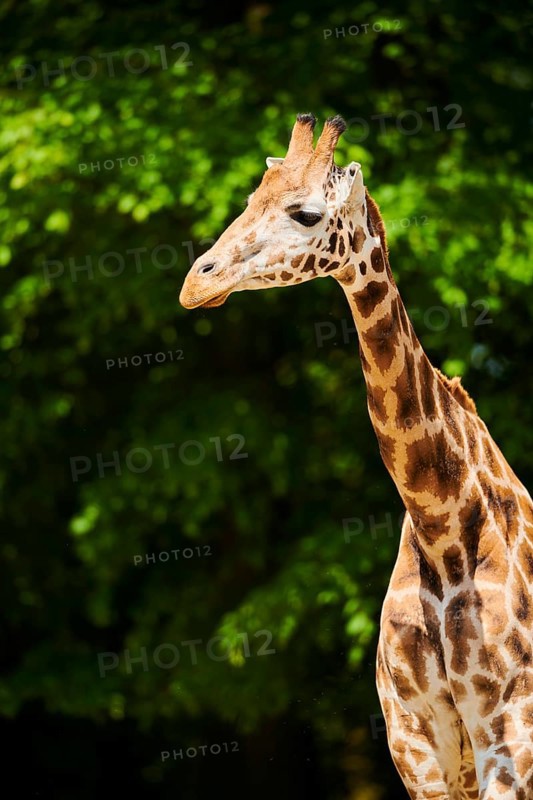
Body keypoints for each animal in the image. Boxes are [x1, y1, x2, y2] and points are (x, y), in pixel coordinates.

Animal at [179, 114, 533, 799]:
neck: (441, 524)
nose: (195, 282)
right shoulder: (412, 739)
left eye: (306, 213)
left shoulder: (511, 731)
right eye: (249, 201)